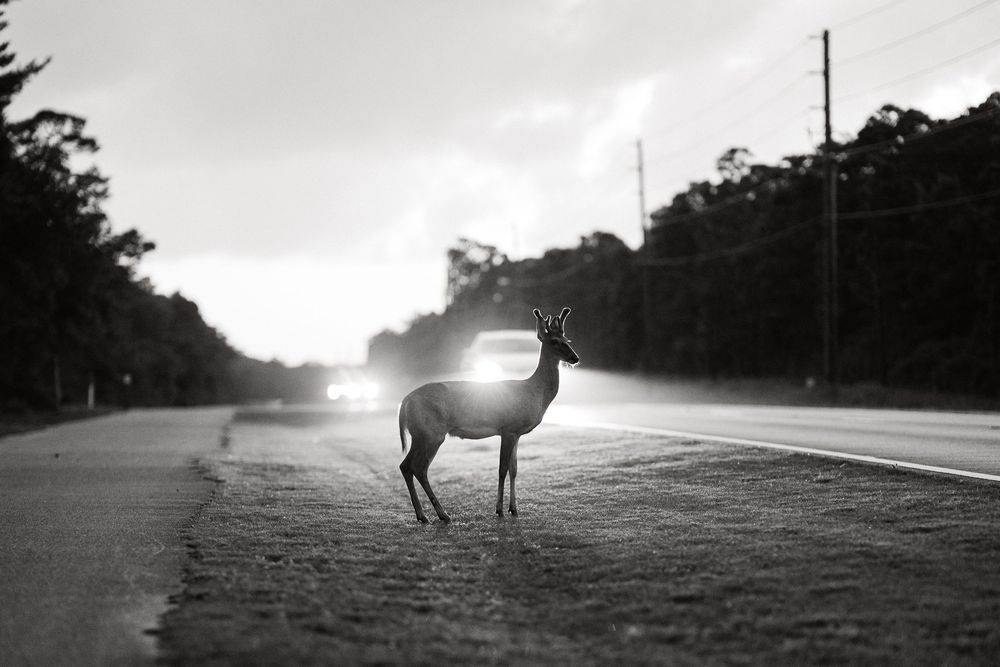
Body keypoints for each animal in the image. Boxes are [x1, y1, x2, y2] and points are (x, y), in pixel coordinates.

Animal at [397, 307, 580, 523]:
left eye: (567, 339)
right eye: (554, 341)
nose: (575, 358)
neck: (535, 392)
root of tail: (405, 402)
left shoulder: (516, 433)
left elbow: (514, 470)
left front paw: (514, 509)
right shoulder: (508, 428)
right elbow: (502, 469)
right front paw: (499, 510)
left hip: (420, 434)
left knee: (406, 466)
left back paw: (423, 515)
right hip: (432, 433)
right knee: (419, 467)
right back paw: (442, 514)